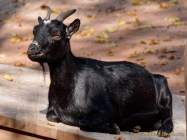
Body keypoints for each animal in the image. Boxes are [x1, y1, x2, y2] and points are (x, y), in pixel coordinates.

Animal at [27, 7, 174, 137]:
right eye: (34, 30)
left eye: (57, 35)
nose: (32, 50)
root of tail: (150, 74)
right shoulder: (52, 111)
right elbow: (52, 116)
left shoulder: (106, 110)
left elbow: (83, 122)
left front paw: (114, 127)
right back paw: (137, 127)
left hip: (163, 86)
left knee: (167, 111)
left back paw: (163, 130)